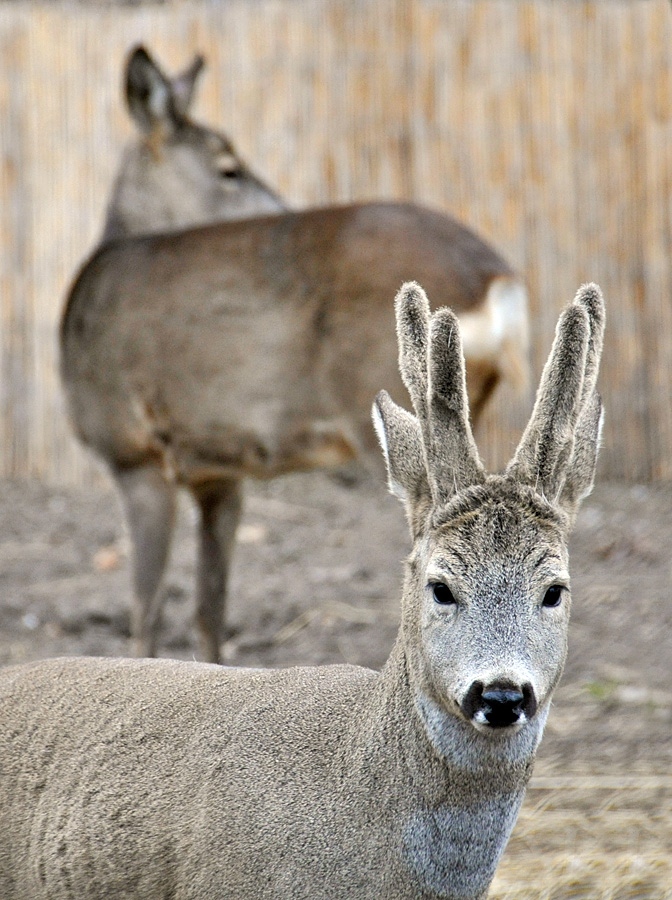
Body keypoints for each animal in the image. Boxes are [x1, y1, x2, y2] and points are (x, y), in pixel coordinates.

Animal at [59, 44, 532, 660]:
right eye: (229, 168)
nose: (284, 207)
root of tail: (496, 280)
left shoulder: (132, 450)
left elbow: (146, 614)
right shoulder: (219, 472)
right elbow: (209, 612)